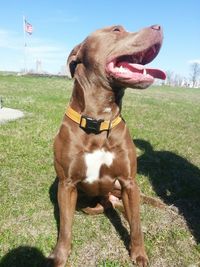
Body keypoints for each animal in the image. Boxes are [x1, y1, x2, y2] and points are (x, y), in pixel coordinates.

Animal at [50, 24, 166, 266]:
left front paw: (139, 253)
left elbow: (137, 225)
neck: (99, 122)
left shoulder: (129, 182)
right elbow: (65, 228)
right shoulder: (66, 185)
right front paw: (59, 257)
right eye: (116, 30)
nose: (158, 26)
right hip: (90, 203)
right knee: (110, 206)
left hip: (123, 189)